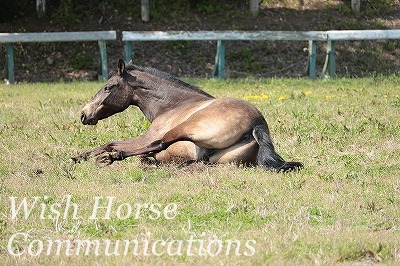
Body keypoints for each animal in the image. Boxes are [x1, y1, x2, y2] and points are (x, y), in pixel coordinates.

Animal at [72, 59, 304, 172]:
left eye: (108, 87)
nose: (84, 114)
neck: (171, 104)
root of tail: (257, 124)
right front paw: (78, 157)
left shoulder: (146, 137)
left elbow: (111, 143)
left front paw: (84, 157)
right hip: (216, 159)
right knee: (198, 162)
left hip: (184, 129)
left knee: (159, 145)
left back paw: (115, 158)